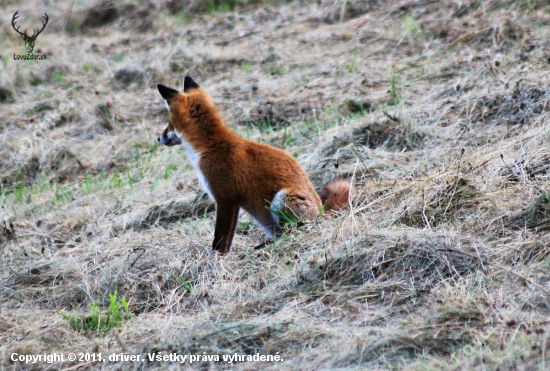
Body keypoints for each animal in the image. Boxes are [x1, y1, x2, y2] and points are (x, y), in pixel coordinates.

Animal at [155, 76, 354, 254]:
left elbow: (219, 240)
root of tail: (322, 212)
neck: (212, 147)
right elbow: (227, 239)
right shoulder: (234, 203)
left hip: (281, 200)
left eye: (169, 123)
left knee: (297, 228)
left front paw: (215, 261)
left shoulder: (224, 198)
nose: (158, 138)